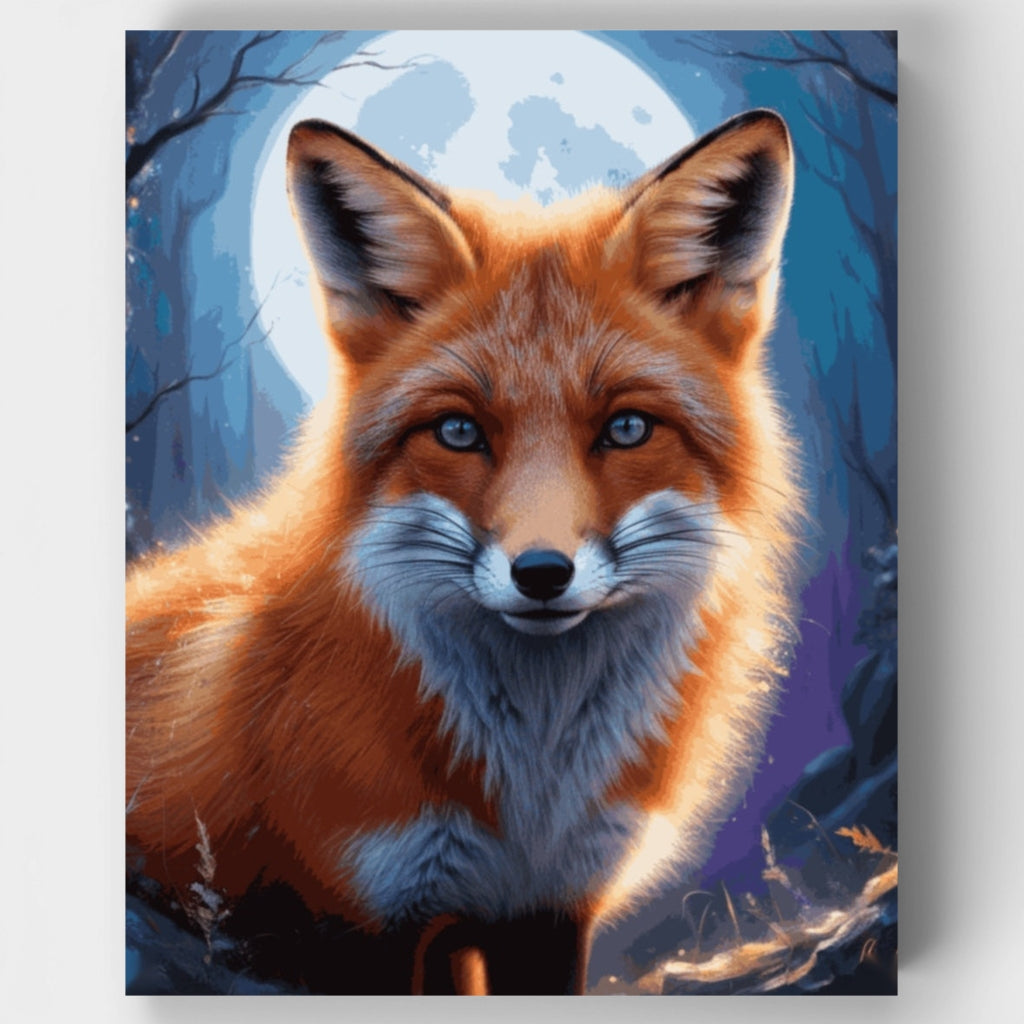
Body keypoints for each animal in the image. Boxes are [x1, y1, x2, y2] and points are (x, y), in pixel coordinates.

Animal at [126, 108, 802, 995]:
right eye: (457, 431)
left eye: (626, 428)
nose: (542, 573)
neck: (530, 799)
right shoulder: (367, 919)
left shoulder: (550, 911)